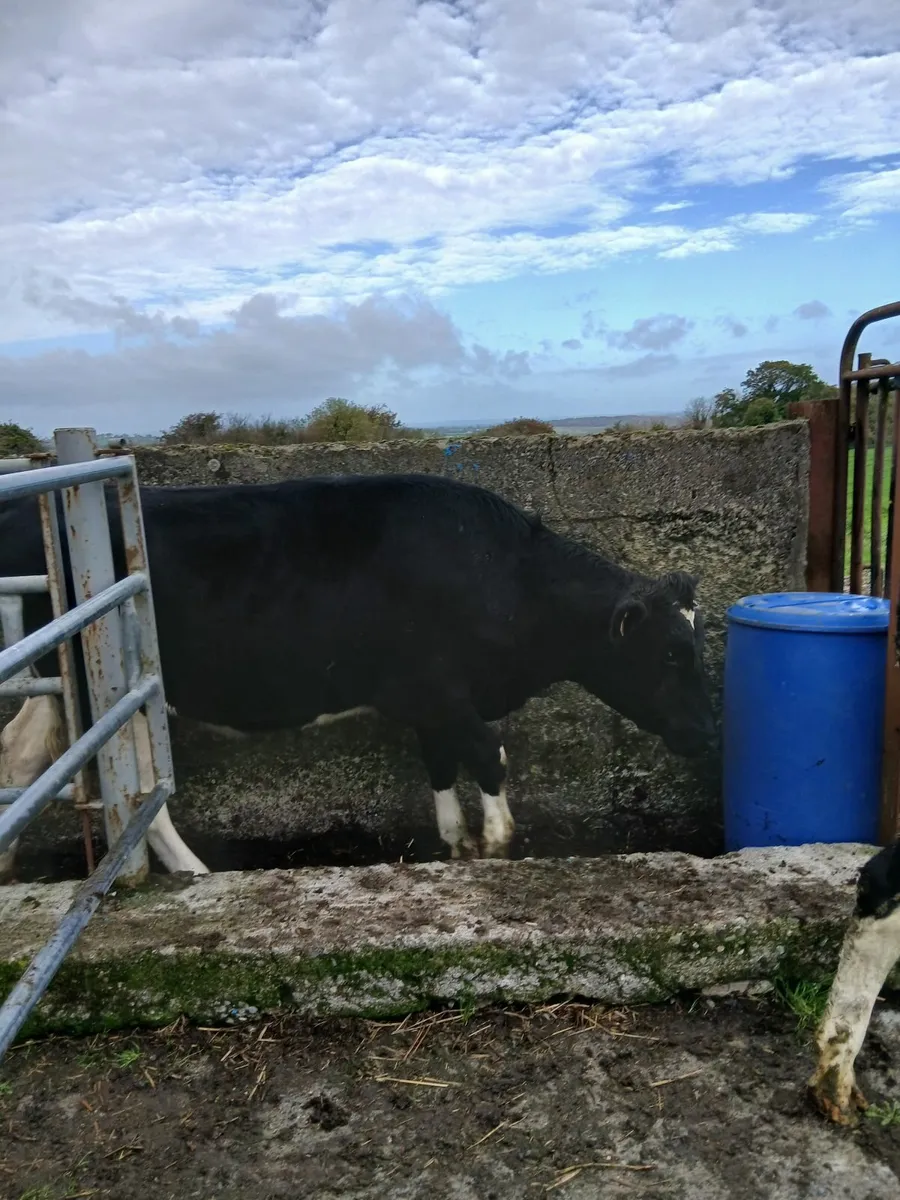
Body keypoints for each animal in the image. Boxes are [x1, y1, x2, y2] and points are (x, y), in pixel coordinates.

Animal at [0, 471, 717, 880]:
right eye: (671, 653)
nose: (703, 732)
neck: (505, 576)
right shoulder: (437, 689)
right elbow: (489, 754)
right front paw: (498, 845)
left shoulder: (432, 701)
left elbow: (442, 763)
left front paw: (458, 845)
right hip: (112, 687)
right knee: (137, 784)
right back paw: (193, 870)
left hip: (63, 688)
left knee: (24, 755)